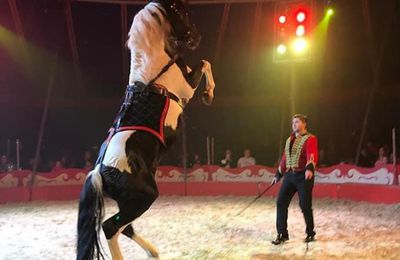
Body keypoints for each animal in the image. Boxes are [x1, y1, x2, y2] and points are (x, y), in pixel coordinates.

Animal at [78, 1, 216, 258]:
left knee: (125, 227)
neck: (154, 69)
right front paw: (208, 94)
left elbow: (204, 62)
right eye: (181, 10)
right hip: (144, 197)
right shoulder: (187, 88)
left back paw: (153, 252)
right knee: (111, 227)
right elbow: (205, 63)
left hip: (129, 201)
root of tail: (100, 171)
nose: (196, 38)